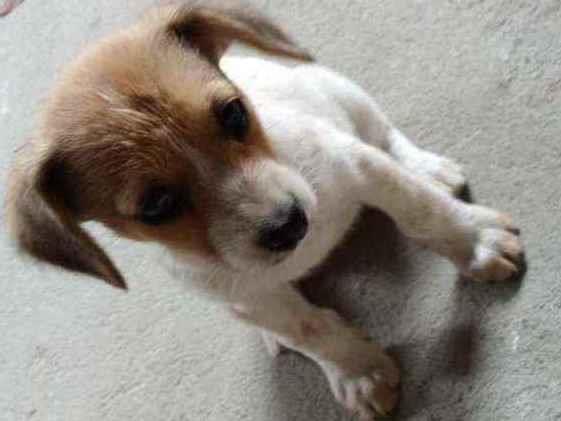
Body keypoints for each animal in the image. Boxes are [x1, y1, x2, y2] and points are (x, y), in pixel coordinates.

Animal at [5, 1, 525, 419]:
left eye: (233, 113)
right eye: (157, 206)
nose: (289, 224)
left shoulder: (357, 166)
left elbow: (424, 213)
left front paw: (476, 243)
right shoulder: (247, 298)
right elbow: (307, 329)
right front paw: (358, 371)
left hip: (338, 89)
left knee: (383, 131)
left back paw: (429, 167)